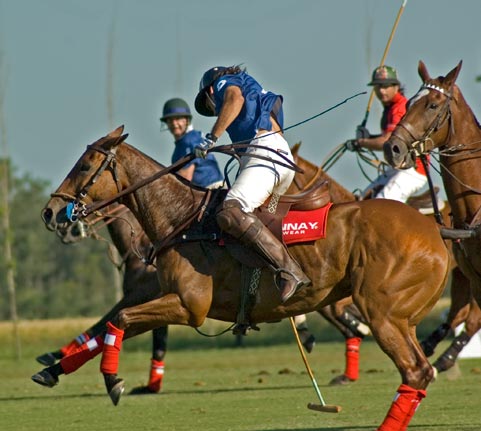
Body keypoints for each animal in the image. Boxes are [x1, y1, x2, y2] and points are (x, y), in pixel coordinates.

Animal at [40, 126, 450, 430]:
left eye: (85, 165)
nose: (51, 211)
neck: (180, 220)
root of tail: (434, 229)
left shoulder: (188, 306)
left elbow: (119, 319)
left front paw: (113, 382)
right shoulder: (162, 296)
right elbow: (112, 324)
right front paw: (52, 370)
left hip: (382, 311)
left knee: (413, 369)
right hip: (400, 316)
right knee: (416, 367)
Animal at [293, 142, 479, 374]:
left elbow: (334, 308)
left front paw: (357, 327)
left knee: (472, 317)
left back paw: (443, 357)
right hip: (461, 273)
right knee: (457, 313)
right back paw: (433, 348)